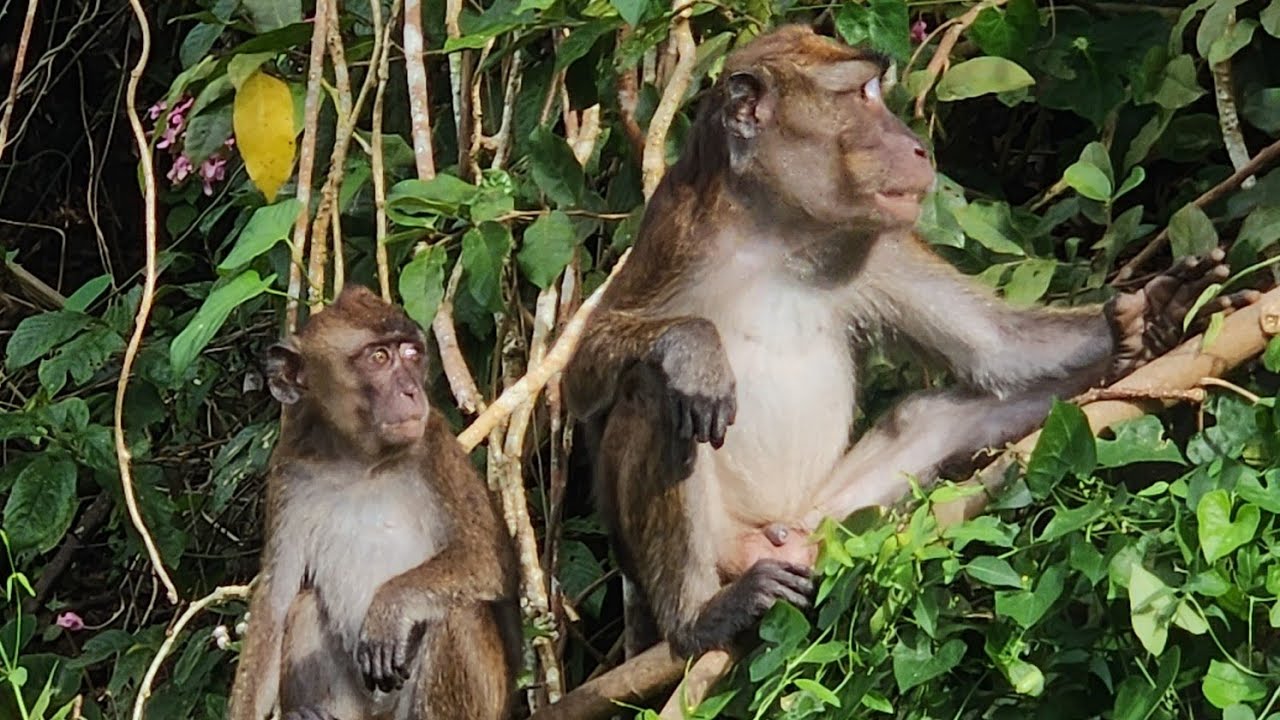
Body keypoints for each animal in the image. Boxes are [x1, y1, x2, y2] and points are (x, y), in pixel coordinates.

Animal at [227, 286, 519, 720]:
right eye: (378, 358)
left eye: (411, 353)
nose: (412, 391)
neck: (359, 462)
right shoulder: (288, 473)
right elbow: (275, 604)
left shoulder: (436, 448)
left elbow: (486, 558)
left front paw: (388, 609)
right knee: (304, 607)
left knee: (457, 611)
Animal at [563, 25, 1261, 660]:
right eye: (861, 95)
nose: (918, 147)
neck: (779, 232)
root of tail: (774, 535)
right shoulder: (678, 235)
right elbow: (583, 378)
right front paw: (695, 349)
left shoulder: (878, 243)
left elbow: (997, 350)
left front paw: (1162, 309)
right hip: (724, 542)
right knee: (653, 395)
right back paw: (698, 618)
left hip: (830, 515)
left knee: (930, 415)